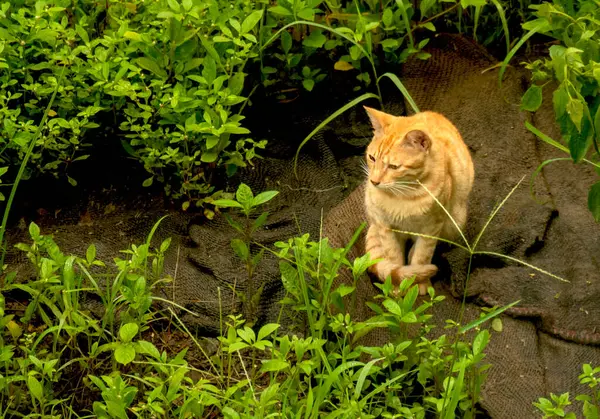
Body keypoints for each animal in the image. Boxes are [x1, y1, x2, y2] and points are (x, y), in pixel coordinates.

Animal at [360, 107, 474, 296]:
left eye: (393, 167)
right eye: (372, 158)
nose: (374, 181)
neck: (402, 196)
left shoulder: (432, 228)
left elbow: (421, 257)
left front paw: (418, 283)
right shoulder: (385, 227)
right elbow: (394, 258)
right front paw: (397, 286)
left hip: (454, 222)